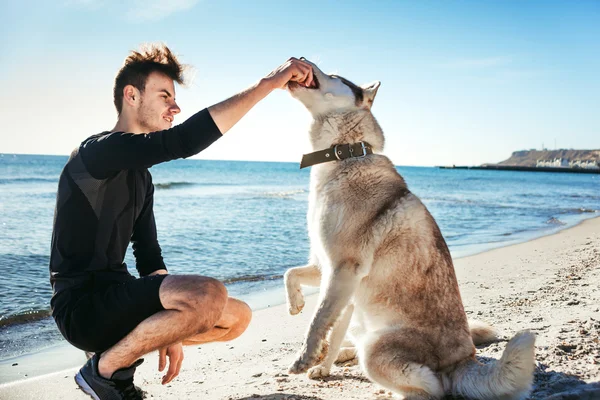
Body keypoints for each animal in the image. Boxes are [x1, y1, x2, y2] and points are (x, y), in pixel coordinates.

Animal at [284, 59, 536, 400]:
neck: (345, 154)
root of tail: (464, 360)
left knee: (433, 387)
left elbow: (318, 320)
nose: (301, 60)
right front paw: (303, 318)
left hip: (377, 347)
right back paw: (346, 353)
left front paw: (306, 356)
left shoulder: (343, 268)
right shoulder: (329, 269)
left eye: (335, 76)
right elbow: (294, 279)